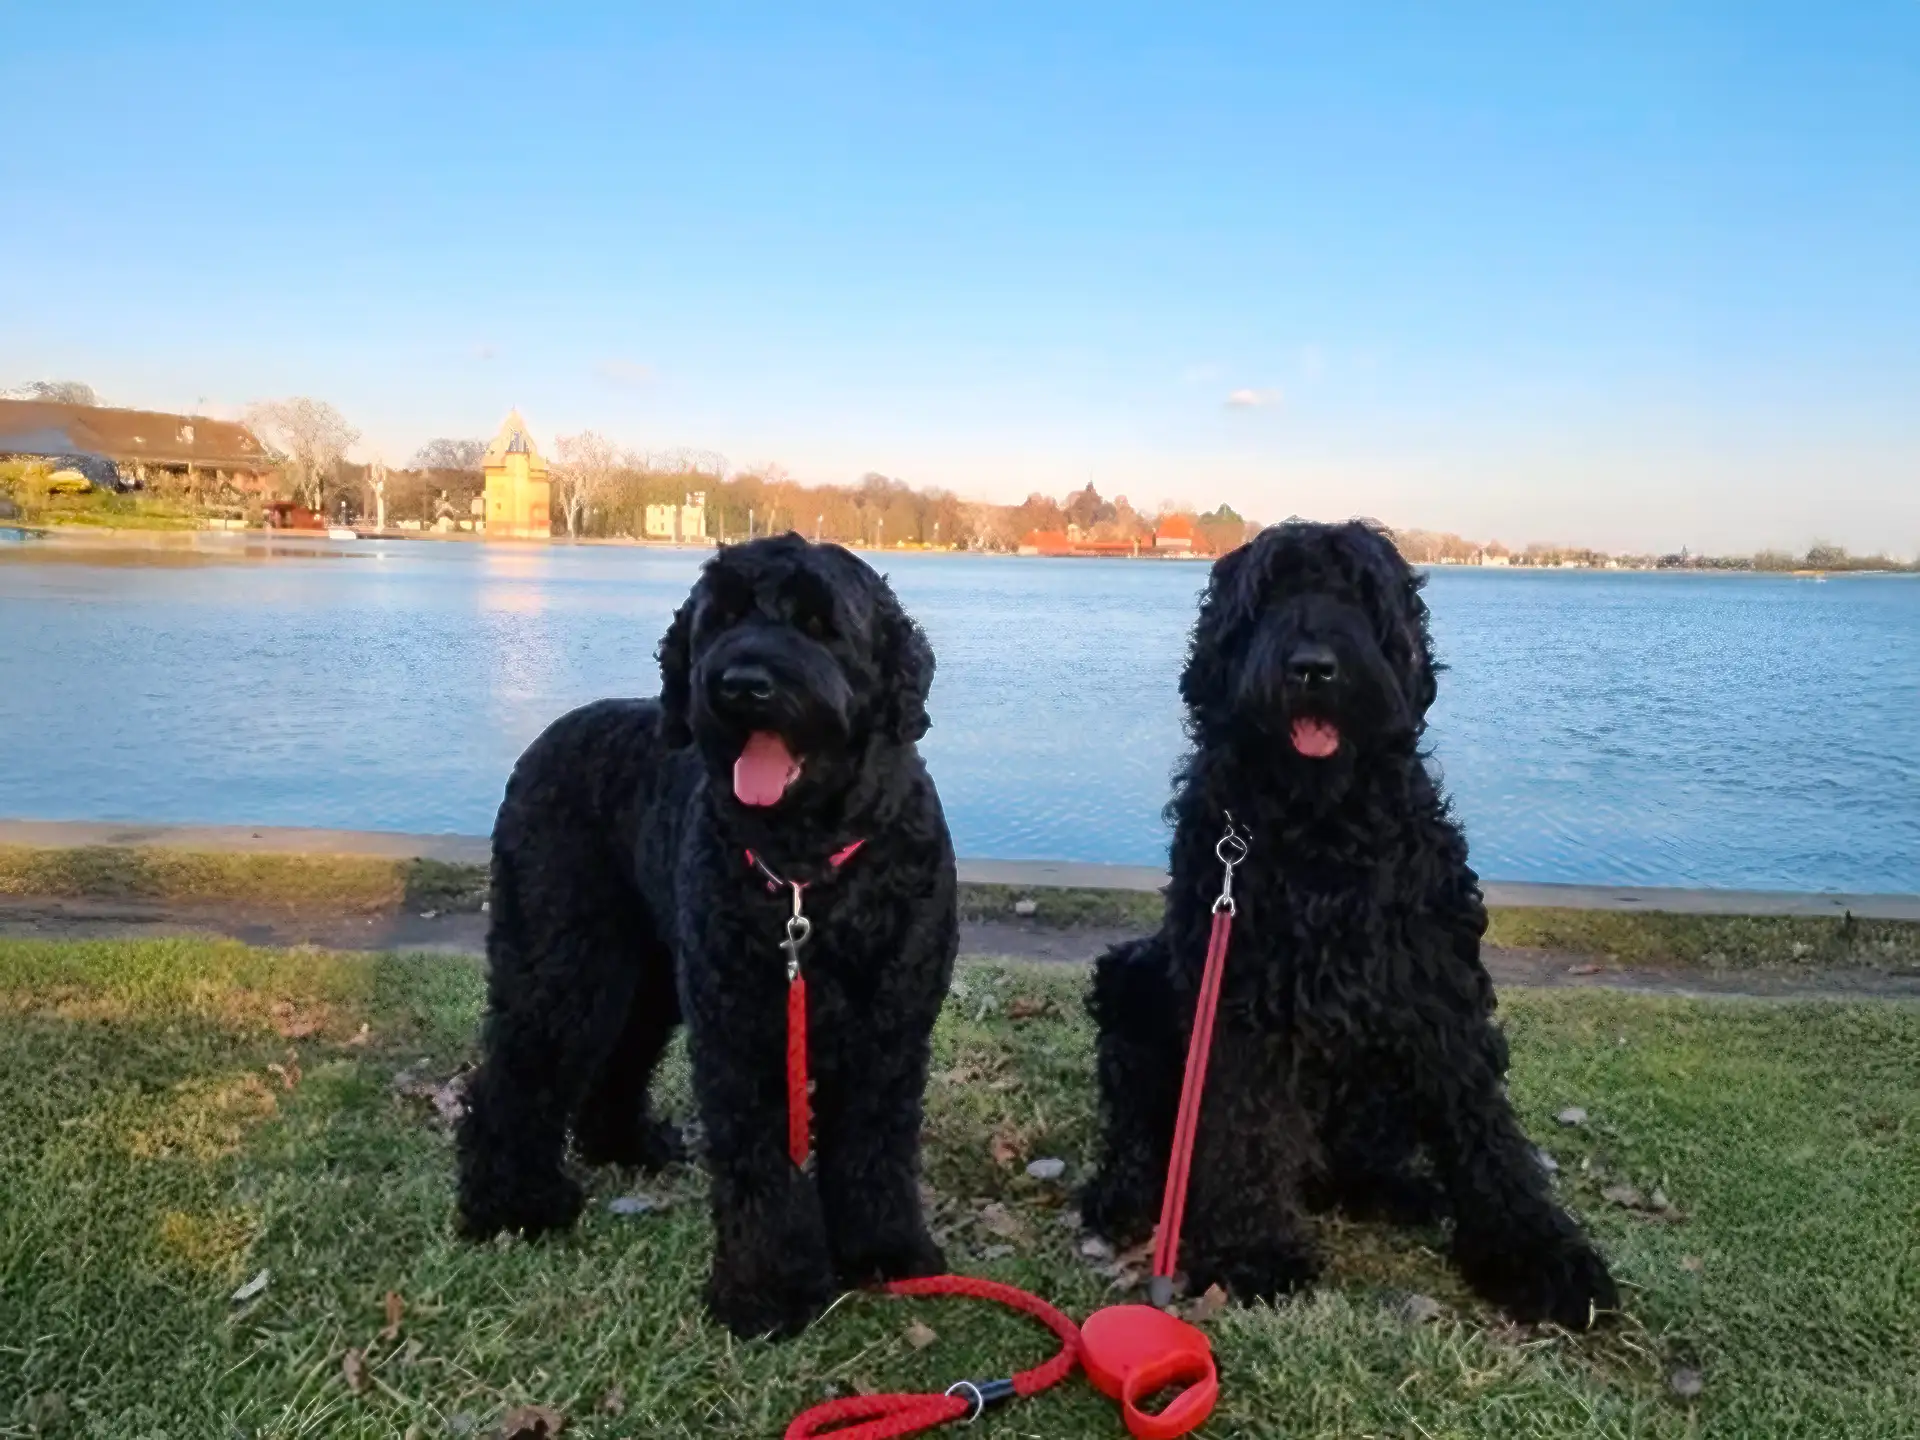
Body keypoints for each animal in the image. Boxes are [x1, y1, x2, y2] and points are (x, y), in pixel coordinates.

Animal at [456, 537, 952, 1344]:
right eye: (720, 619)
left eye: (819, 623)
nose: (743, 684)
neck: (808, 874)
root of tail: (550, 736)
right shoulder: (743, 1038)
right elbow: (759, 1168)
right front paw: (768, 1291)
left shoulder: (889, 1033)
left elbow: (874, 1148)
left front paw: (884, 1251)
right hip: (562, 962)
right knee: (515, 1073)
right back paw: (514, 1202)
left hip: (648, 976)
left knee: (615, 1060)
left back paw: (624, 1145)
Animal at [1082, 518, 1620, 1328]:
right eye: (1271, 593)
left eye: (1361, 596)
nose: (1313, 668)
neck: (1323, 829)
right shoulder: (1241, 996)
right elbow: (1246, 1123)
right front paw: (1255, 1249)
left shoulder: (1441, 992)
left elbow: (1485, 1130)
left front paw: (1539, 1253)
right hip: (1132, 981)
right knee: (1139, 1125)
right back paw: (1124, 1191)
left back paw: (1394, 1188)